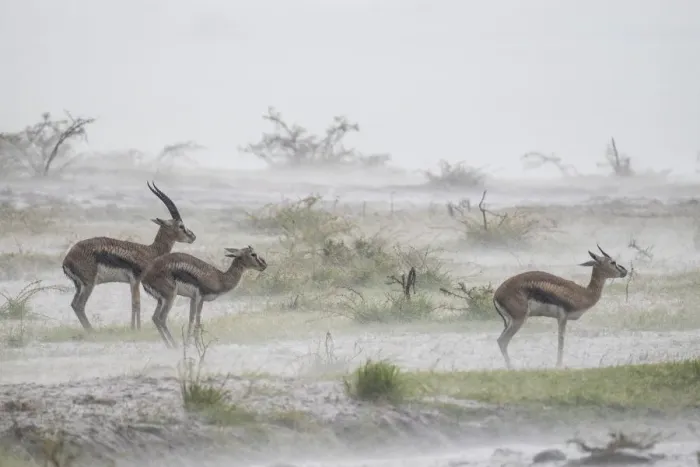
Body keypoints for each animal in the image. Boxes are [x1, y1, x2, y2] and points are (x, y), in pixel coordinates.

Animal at [62, 181, 196, 331]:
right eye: (181, 225)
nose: (193, 237)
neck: (151, 251)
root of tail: (68, 259)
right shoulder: (136, 280)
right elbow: (136, 304)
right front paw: (136, 329)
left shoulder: (133, 283)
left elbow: (134, 303)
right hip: (89, 284)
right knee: (79, 305)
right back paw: (91, 331)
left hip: (79, 286)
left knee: (74, 304)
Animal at [493, 245, 627, 369]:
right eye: (612, 262)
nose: (624, 271)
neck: (584, 293)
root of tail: (496, 294)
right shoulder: (563, 317)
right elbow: (561, 341)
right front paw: (559, 365)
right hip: (518, 320)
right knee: (502, 341)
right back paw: (512, 367)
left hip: (510, 321)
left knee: (500, 340)